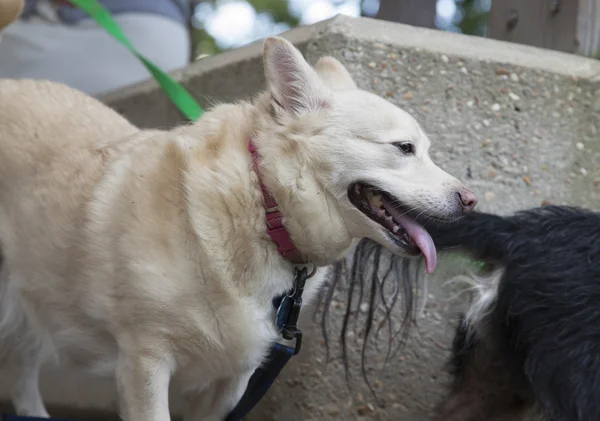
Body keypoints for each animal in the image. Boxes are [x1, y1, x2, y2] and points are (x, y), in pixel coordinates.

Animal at [0, 24, 478, 420]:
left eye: (426, 150)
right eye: (403, 148)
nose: (472, 201)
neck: (264, 206)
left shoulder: (232, 381)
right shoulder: (144, 361)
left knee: (20, 370)